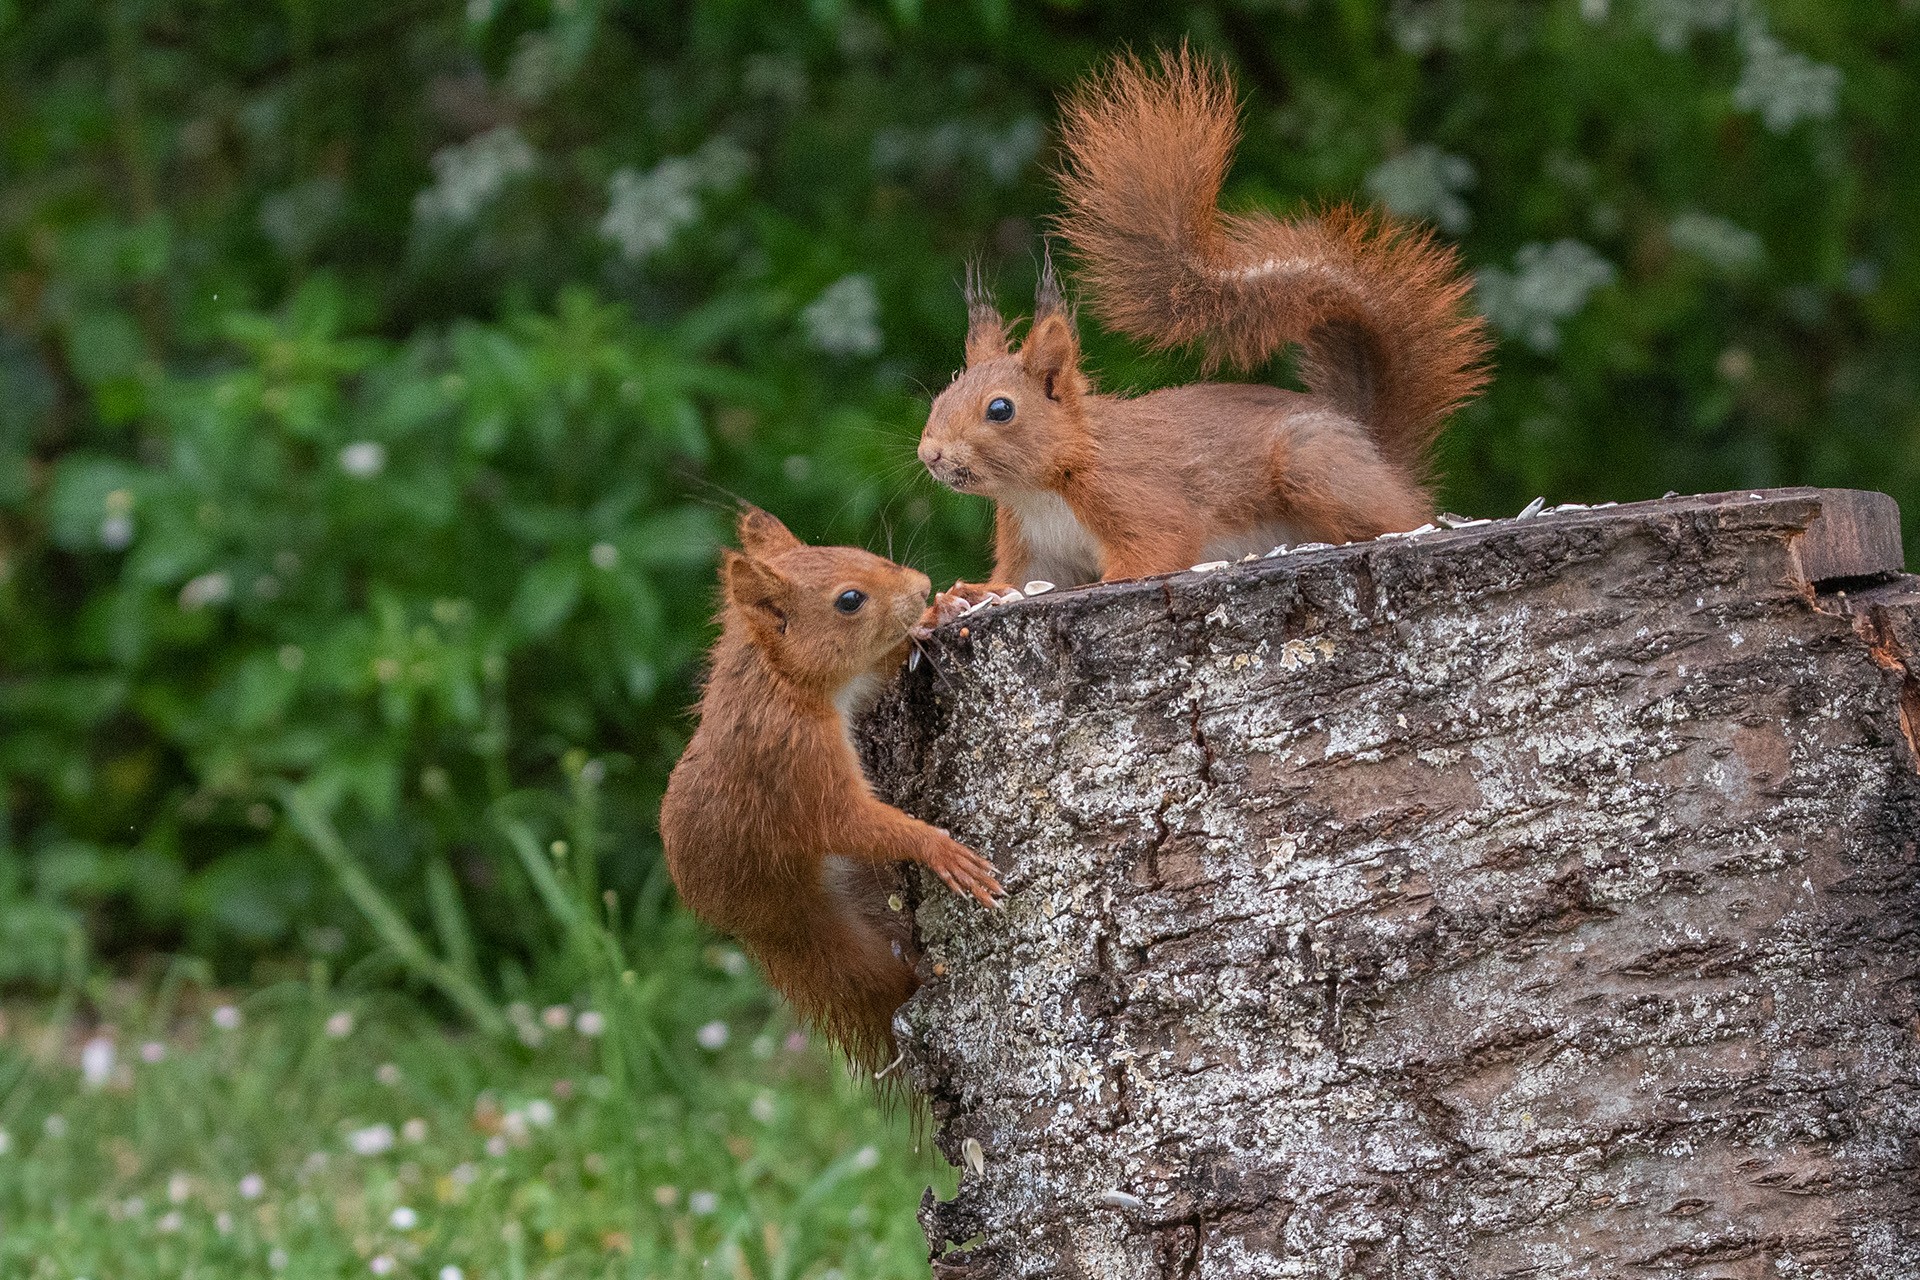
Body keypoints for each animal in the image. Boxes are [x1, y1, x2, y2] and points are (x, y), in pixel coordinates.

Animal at [656, 506, 998, 1074]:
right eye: (849, 600)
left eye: (862, 552)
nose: (922, 586)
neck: (780, 679)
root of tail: (757, 925)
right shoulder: (796, 758)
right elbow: (844, 820)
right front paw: (941, 849)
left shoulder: (853, 684)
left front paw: (945, 606)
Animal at [921, 47, 1489, 610]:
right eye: (942, 394)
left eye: (1000, 409)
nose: (930, 455)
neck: (1039, 487)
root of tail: (1375, 449)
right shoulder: (1036, 548)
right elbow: (1019, 582)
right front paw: (961, 596)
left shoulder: (1133, 496)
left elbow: (1158, 545)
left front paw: (1102, 584)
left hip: (1314, 462)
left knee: (1395, 520)